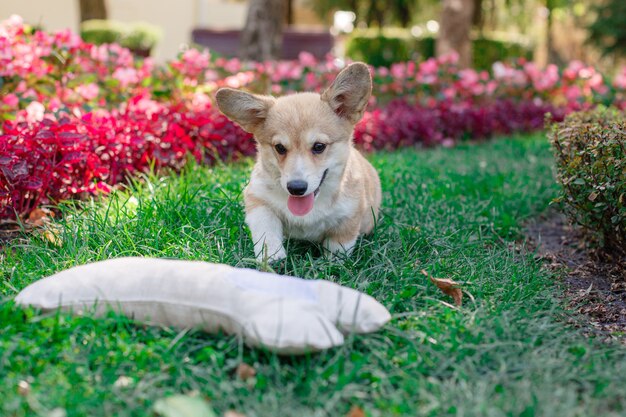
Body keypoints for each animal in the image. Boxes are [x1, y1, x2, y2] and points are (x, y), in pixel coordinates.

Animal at [214, 61, 380, 260]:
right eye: (279, 148)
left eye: (319, 146)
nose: (296, 188)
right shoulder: (258, 199)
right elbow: (266, 231)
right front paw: (273, 258)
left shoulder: (349, 216)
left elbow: (338, 247)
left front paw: (331, 263)